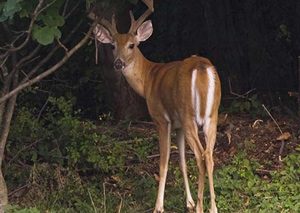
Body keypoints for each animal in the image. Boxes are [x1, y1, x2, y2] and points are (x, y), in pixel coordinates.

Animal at [91, 0, 220, 212]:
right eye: (112, 46)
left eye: (132, 45)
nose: (118, 63)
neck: (148, 79)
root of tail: (201, 68)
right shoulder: (178, 126)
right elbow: (182, 161)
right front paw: (189, 202)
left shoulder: (161, 119)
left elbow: (164, 162)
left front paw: (159, 206)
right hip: (212, 116)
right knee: (208, 156)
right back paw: (212, 208)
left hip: (189, 115)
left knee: (201, 157)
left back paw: (201, 208)